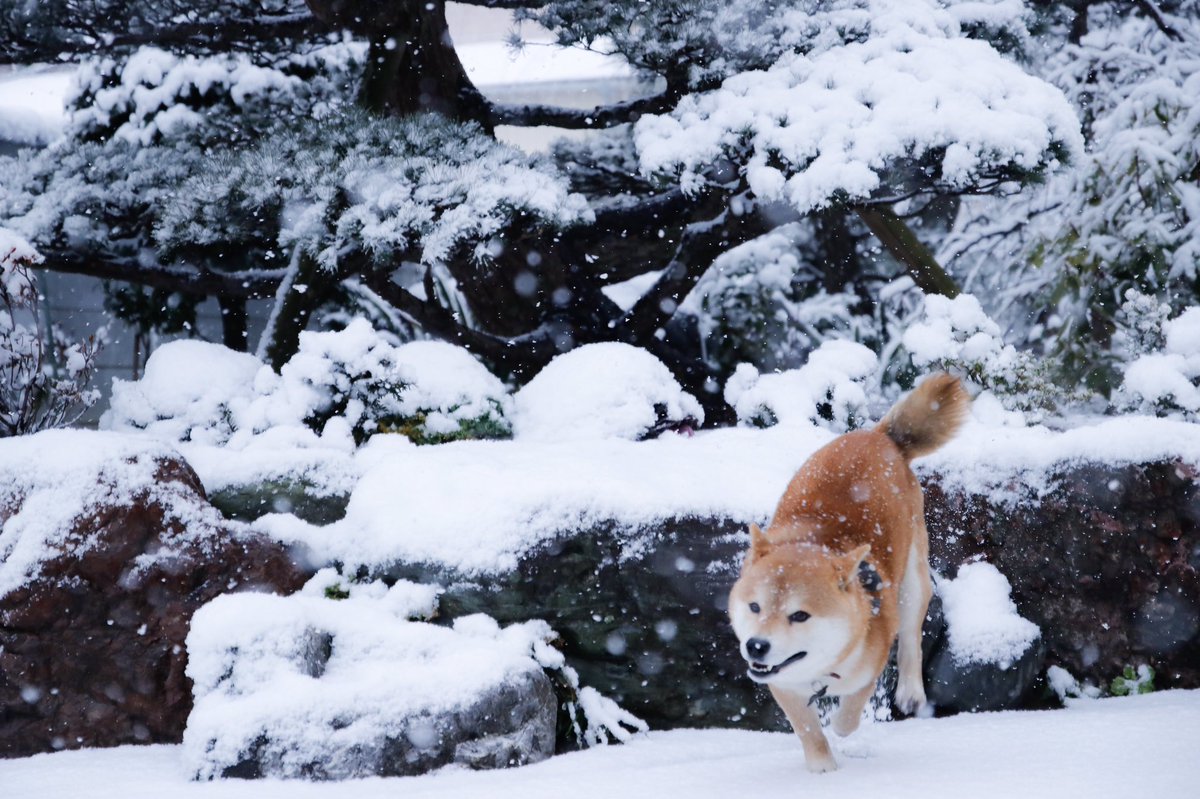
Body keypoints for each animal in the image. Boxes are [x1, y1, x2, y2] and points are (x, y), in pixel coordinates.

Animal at [724, 374, 969, 772]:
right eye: (755, 607)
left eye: (799, 615)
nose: (756, 646)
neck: (822, 669)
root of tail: (880, 436)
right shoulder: (781, 683)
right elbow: (806, 727)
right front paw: (822, 767)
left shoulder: (870, 664)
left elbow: (850, 712)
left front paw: (840, 728)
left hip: (912, 580)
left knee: (912, 634)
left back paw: (910, 690)